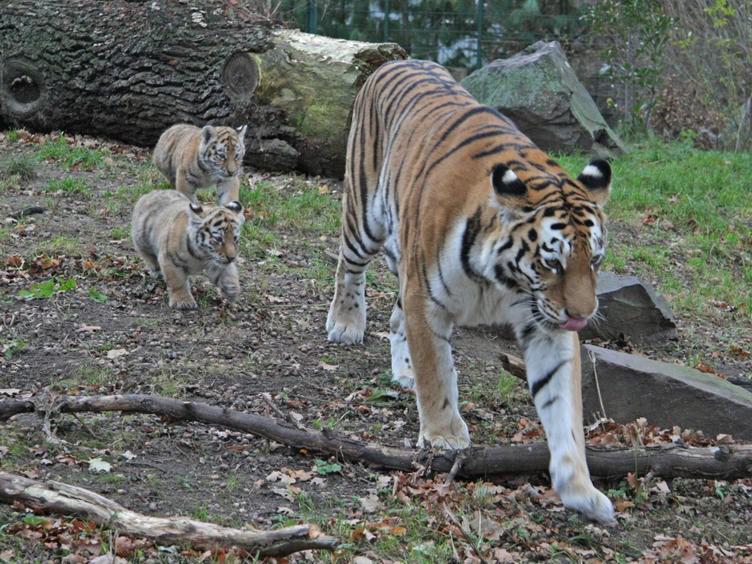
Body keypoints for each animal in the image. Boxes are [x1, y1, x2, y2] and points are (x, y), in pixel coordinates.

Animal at [326, 60, 612, 524]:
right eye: (553, 263)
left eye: (596, 261)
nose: (582, 316)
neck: (504, 278)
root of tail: (395, 60)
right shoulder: (426, 300)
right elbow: (437, 375)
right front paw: (445, 437)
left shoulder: (545, 324)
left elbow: (563, 409)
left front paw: (580, 489)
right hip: (365, 215)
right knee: (348, 269)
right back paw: (345, 324)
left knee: (395, 316)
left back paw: (403, 372)